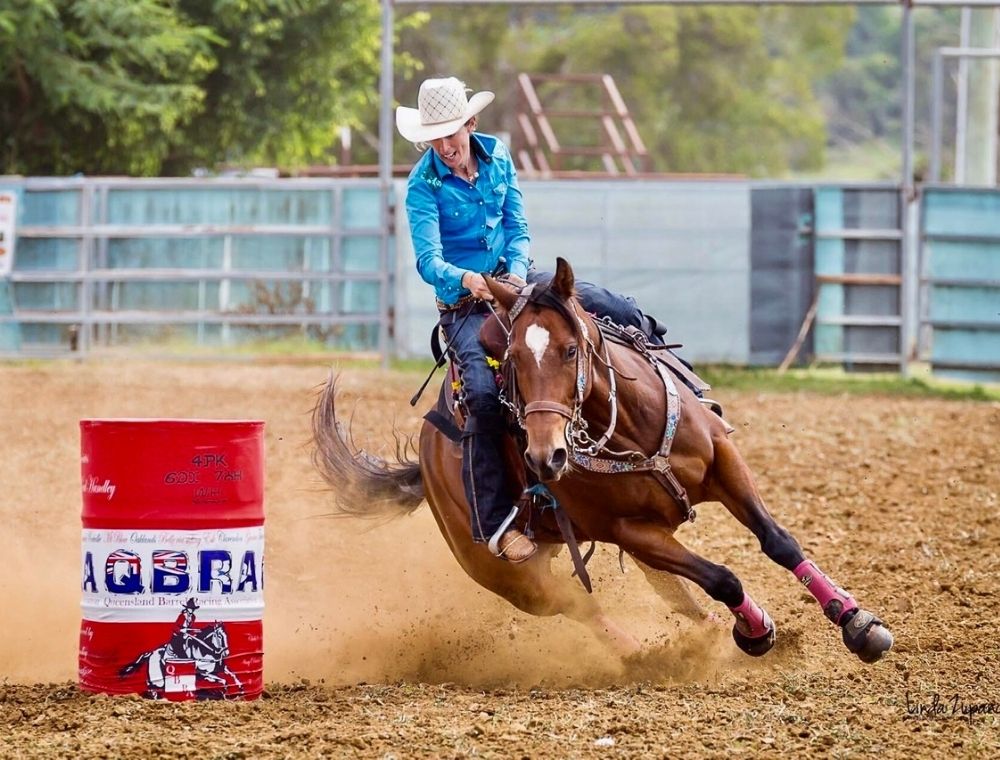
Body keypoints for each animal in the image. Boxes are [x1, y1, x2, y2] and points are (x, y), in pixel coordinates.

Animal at [310, 256, 892, 664]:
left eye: (571, 350)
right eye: (512, 360)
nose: (545, 456)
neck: (632, 428)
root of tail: (427, 460)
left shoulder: (724, 463)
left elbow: (777, 541)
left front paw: (857, 623)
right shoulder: (627, 530)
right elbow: (723, 577)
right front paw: (755, 633)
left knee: (673, 593)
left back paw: (705, 635)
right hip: (505, 572)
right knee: (578, 605)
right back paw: (651, 657)